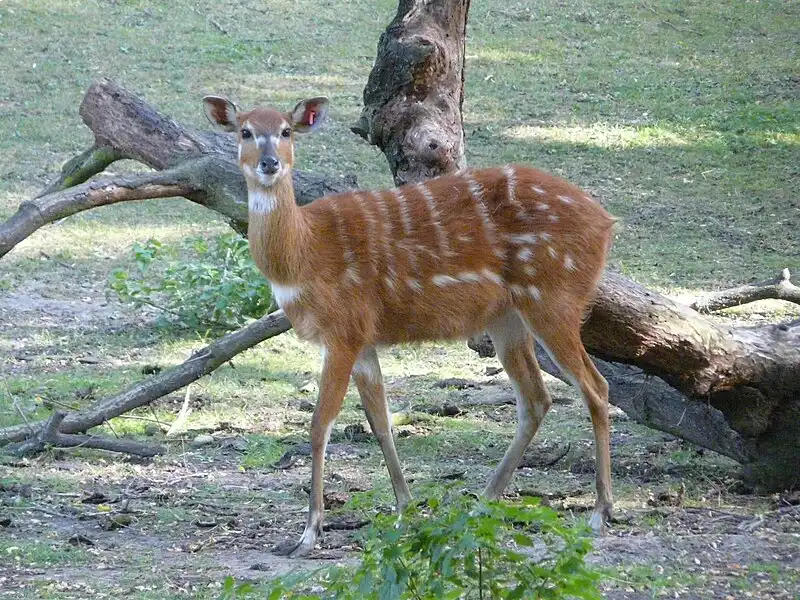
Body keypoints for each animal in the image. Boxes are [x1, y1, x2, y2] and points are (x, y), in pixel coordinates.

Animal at [203, 94, 616, 558]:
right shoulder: (363, 340)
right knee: (536, 398)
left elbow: (319, 423)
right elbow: (380, 422)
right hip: (507, 317)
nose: (270, 163)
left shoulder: (343, 330)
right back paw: (483, 503)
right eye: (245, 131)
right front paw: (404, 510)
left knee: (595, 387)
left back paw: (599, 512)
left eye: (286, 131)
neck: (304, 255)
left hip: (553, 300)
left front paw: (309, 533)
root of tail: (606, 224)